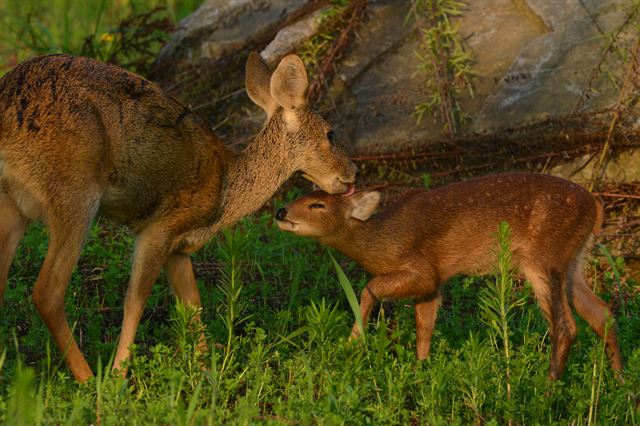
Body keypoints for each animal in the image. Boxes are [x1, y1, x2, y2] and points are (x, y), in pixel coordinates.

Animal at [0, 53, 356, 382]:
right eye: (330, 133)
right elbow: (135, 300)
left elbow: (192, 303)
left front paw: (205, 368)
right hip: (74, 192)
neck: (225, 191)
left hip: (14, 206)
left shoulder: (179, 247)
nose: (352, 173)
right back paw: (89, 378)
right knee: (47, 291)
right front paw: (119, 375)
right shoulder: (160, 226)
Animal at [276, 175, 624, 382]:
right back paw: (620, 383)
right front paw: (421, 372)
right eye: (300, 197)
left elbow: (370, 288)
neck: (381, 242)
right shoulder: (434, 284)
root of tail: (595, 206)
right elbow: (424, 328)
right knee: (602, 313)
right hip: (571, 260)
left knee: (565, 326)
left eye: (317, 205)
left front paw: (351, 345)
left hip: (542, 257)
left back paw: (546, 389)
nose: (281, 212)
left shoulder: (424, 272)